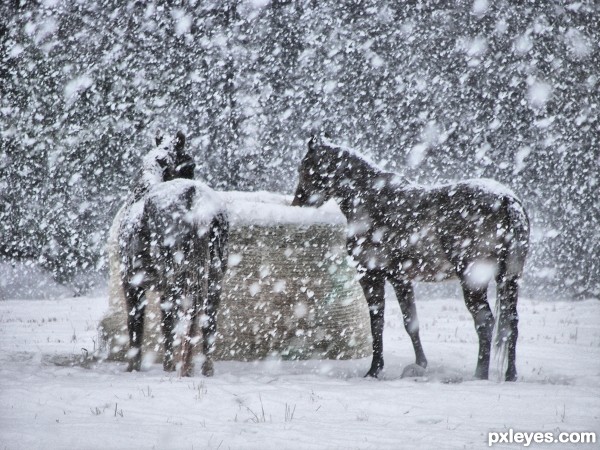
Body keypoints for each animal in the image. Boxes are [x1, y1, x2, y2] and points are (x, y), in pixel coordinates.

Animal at [119, 133, 227, 376]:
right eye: (190, 164)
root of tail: (196, 197)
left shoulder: (132, 284)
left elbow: (137, 326)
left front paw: (134, 366)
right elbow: (166, 325)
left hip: (176, 275)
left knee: (189, 314)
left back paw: (184, 366)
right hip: (213, 276)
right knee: (207, 319)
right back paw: (204, 368)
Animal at [292, 136, 528, 380]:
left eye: (305, 168)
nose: (297, 203)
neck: (370, 200)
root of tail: (506, 199)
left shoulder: (371, 276)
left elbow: (377, 323)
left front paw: (374, 370)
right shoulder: (400, 279)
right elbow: (411, 323)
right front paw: (420, 364)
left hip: (473, 280)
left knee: (485, 322)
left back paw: (480, 374)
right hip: (509, 279)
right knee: (511, 323)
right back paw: (510, 375)